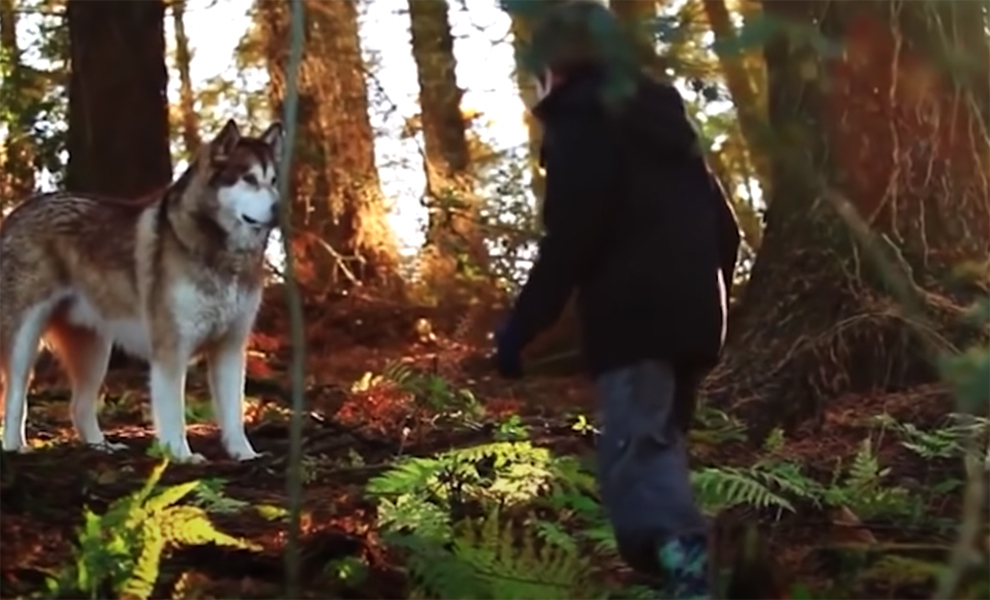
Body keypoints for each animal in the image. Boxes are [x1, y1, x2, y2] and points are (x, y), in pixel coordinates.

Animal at [0, 118, 286, 464]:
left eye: (273, 180)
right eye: (249, 179)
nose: (280, 208)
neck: (222, 254)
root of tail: (17, 211)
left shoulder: (230, 347)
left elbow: (233, 413)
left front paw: (245, 454)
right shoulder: (171, 349)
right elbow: (174, 412)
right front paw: (180, 454)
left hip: (95, 348)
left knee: (79, 405)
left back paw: (101, 447)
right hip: (24, 339)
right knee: (15, 394)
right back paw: (14, 447)